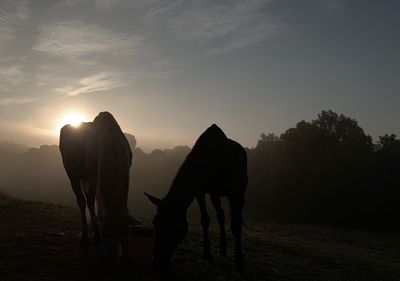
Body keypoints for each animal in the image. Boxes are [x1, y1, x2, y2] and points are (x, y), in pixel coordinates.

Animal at [145, 123, 248, 272]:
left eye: (173, 226)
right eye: (155, 222)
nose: (157, 263)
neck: (211, 160)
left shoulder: (235, 192)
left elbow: (235, 225)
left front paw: (240, 263)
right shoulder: (199, 192)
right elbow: (204, 220)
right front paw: (206, 252)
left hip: (239, 192)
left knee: (233, 218)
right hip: (215, 195)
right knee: (221, 216)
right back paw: (222, 249)